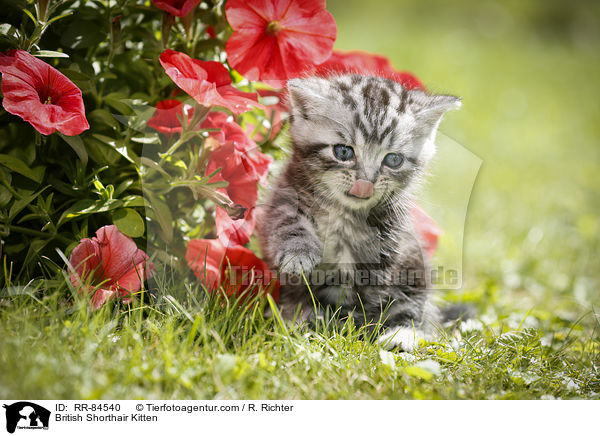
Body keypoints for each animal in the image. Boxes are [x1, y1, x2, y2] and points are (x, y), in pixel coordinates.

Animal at [256, 73, 460, 350]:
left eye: (393, 159)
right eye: (343, 151)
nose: (366, 183)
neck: (343, 212)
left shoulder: (392, 235)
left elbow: (371, 287)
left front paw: (357, 326)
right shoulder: (285, 194)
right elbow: (286, 223)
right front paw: (298, 255)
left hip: (414, 268)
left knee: (415, 310)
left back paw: (400, 336)